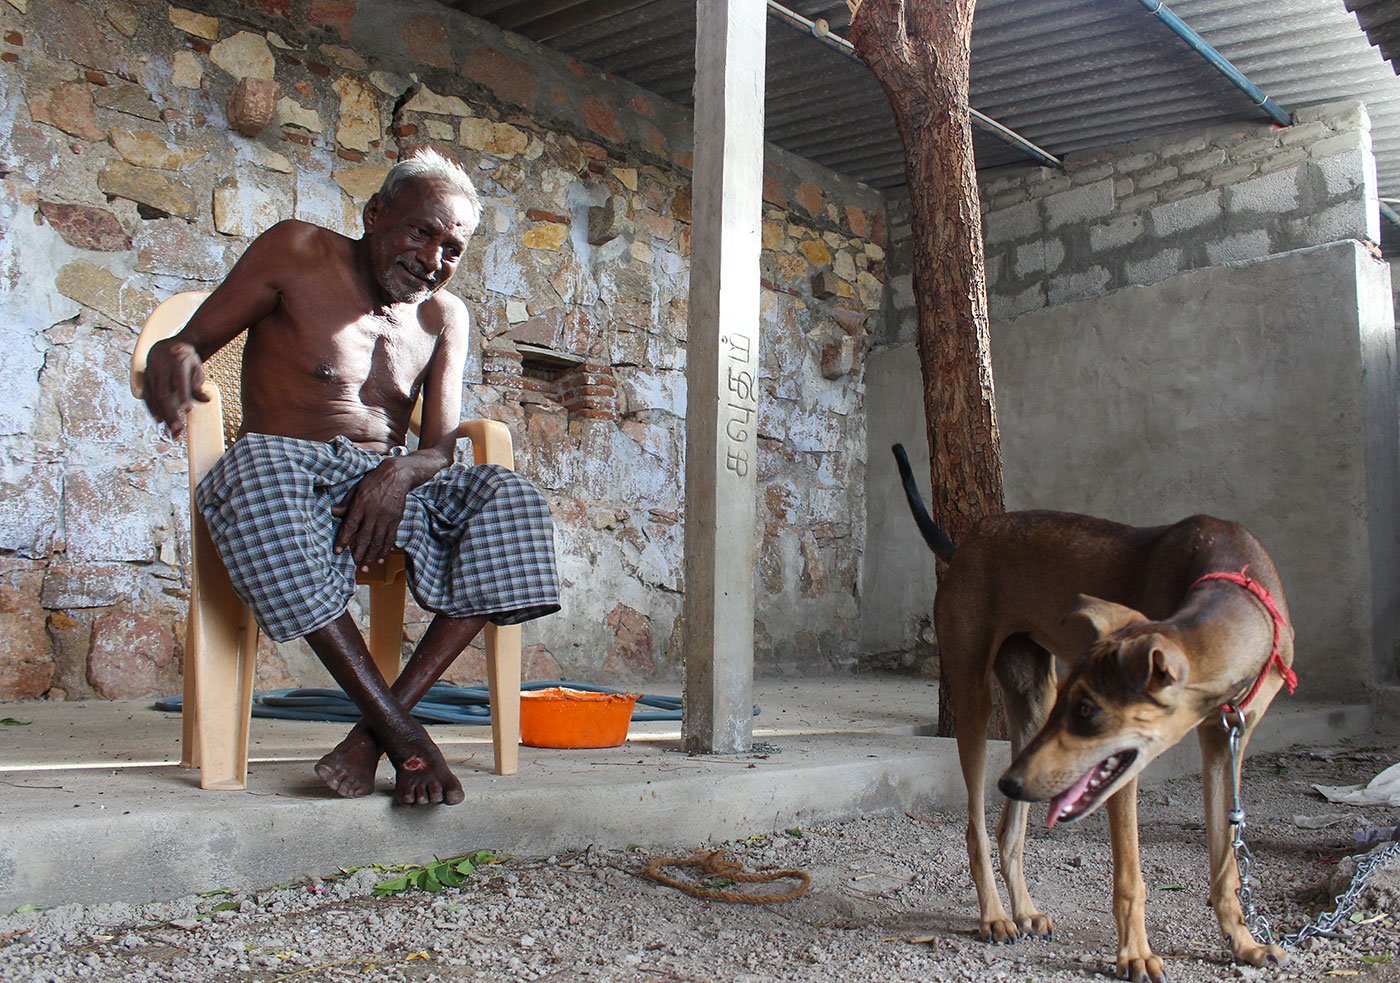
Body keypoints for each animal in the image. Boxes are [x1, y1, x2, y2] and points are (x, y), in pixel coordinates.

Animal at [896, 448, 1299, 983]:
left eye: (1087, 709)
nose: (1010, 781)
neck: (1235, 583)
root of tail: (965, 545)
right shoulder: (1123, 768)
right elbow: (1130, 876)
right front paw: (1135, 955)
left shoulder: (1224, 744)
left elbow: (1226, 865)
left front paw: (1244, 942)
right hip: (973, 698)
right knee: (977, 830)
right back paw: (995, 916)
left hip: (1032, 705)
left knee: (1010, 830)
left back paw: (1024, 909)